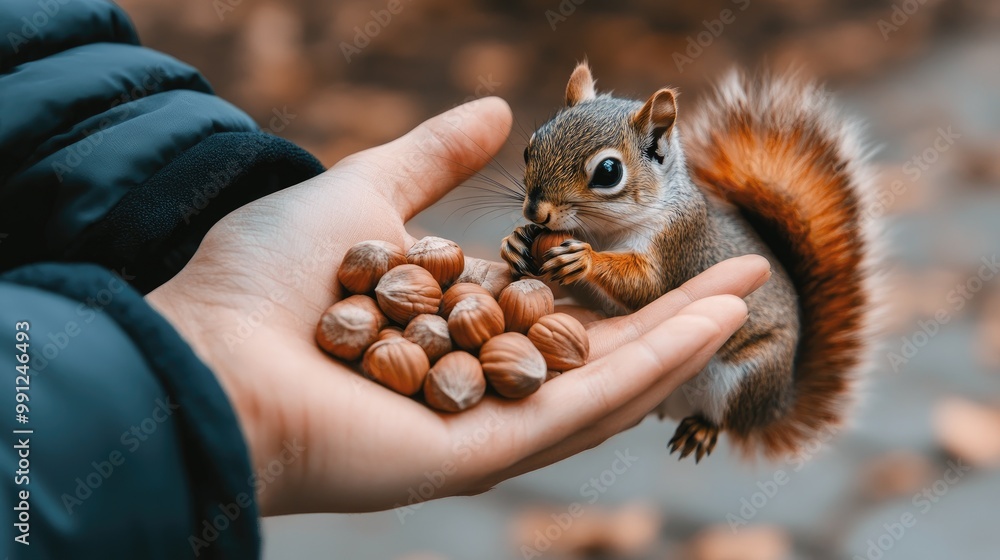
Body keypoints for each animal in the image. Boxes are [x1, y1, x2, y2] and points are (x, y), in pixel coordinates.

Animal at [500, 63, 876, 462]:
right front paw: (516, 241)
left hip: (748, 374)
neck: (601, 230)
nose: (535, 211)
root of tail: (776, 406)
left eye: (608, 172)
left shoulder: (677, 242)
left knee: (726, 417)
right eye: (529, 148)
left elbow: (648, 289)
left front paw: (584, 258)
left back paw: (703, 429)